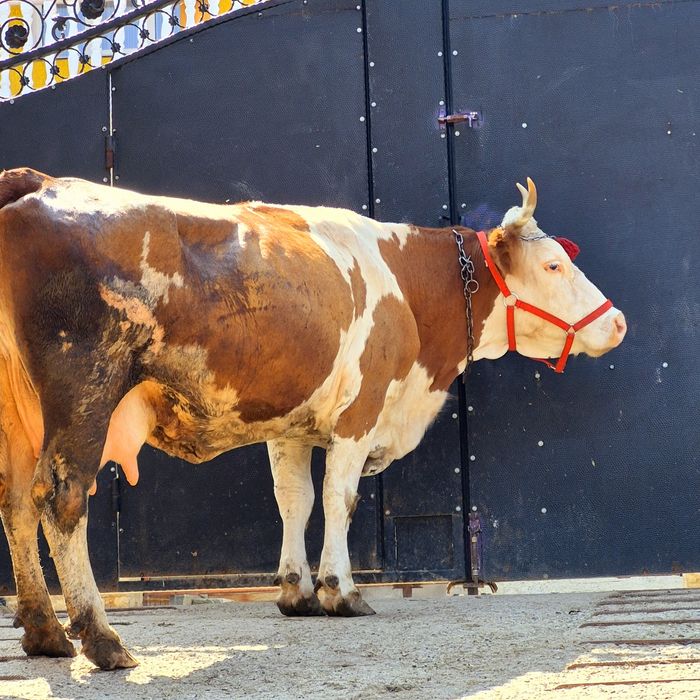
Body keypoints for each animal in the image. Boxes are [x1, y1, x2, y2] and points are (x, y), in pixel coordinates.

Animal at [0, 168, 625, 670]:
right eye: (553, 264)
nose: (617, 321)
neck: (407, 284)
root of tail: (39, 182)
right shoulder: (360, 411)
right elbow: (338, 498)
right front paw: (339, 591)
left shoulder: (289, 426)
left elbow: (295, 499)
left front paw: (295, 591)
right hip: (85, 390)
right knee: (61, 499)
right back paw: (101, 639)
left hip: (19, 419)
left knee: (15, 504)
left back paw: (45, 633)